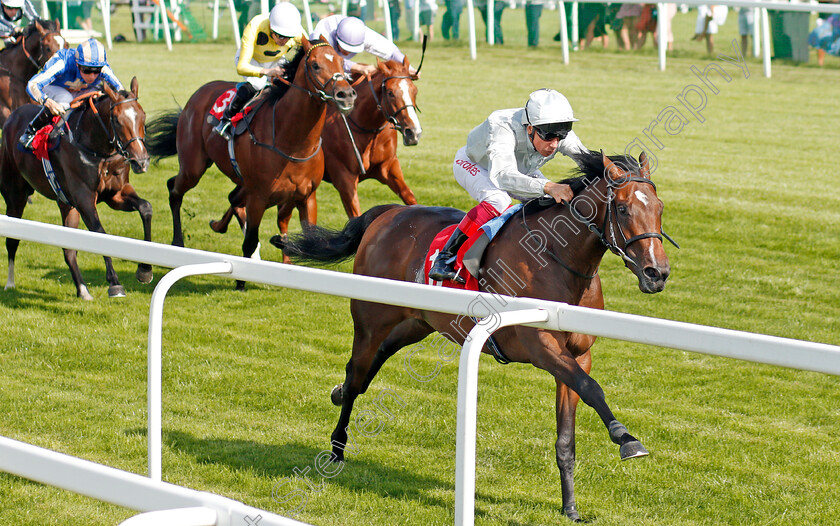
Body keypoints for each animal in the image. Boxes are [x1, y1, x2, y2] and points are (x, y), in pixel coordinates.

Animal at [1, 79, 152, 302]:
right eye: (116, 120)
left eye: (143, 116)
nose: (141, 162)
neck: (98, 151)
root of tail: (12, 116)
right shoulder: (84, 200)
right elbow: (100, 233)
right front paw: (115, 283)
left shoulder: (116, 195)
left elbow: (146, 208)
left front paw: (145, 270)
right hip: (16, 196)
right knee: (12, 240)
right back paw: (10, 283)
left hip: (66, 204)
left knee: (69, 249)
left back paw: (82, 289)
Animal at [146, 38, 356, 286]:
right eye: (315, 65)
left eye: (342, 62)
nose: (346, 94)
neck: (293, 141)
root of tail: (199, 93)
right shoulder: (258, 196)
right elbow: (249, 240)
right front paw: (240, 283)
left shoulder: (307, 197)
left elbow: (309, 240)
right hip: (193, 167)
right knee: (174, 189)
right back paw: (178, 242)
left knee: (231, 197)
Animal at [208, 55, 424, 235]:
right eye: (390, 93)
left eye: (414, 91)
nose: (413, 132)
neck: (364, 127)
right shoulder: (344, 177)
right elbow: (355, 214)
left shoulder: (389, 167)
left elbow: (410, 198)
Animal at [272, 152, 672, 524]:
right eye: (622, 208)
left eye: (659, 207)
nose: (657, 272)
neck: (558, 256)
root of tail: (389, 213)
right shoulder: (539, 344)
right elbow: (591, 388)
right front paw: (627, 439)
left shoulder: (579, 352)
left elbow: (567, 433)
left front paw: (571, 507)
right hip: (372, 316)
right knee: (357, 371)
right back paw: (337, 447)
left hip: (418, 320)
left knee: (373, 362)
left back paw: (338, 394)